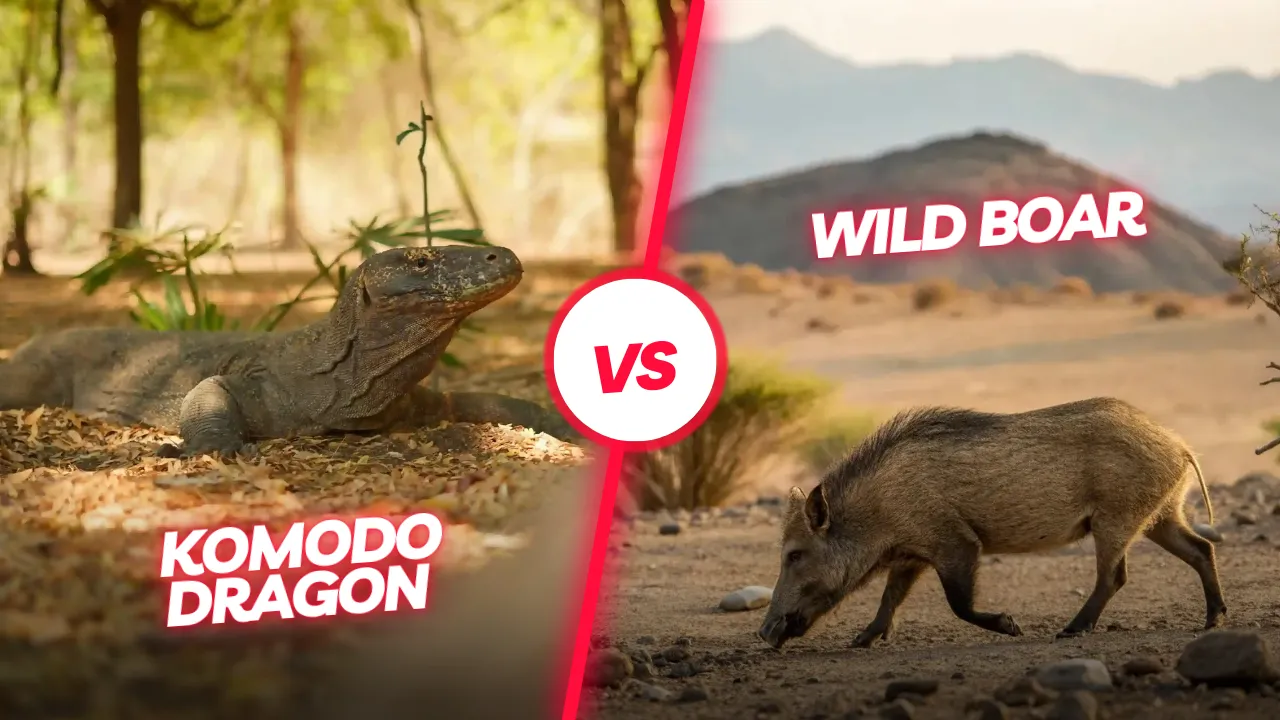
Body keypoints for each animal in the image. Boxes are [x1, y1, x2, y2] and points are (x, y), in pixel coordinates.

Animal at [757, 397, 1225, 649]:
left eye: (794, 554)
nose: (762, 633)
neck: (878, 513)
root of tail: (1179, 446)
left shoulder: (956, 543)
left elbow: (958, 603)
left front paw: (1011, 627)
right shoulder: (912, 555)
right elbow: (891, 598)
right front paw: (861, 640)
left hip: (1116, 518)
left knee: (1114, 575)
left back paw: (1070, 631)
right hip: (1161, 516)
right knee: (1201, 549)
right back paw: (1213, 621)